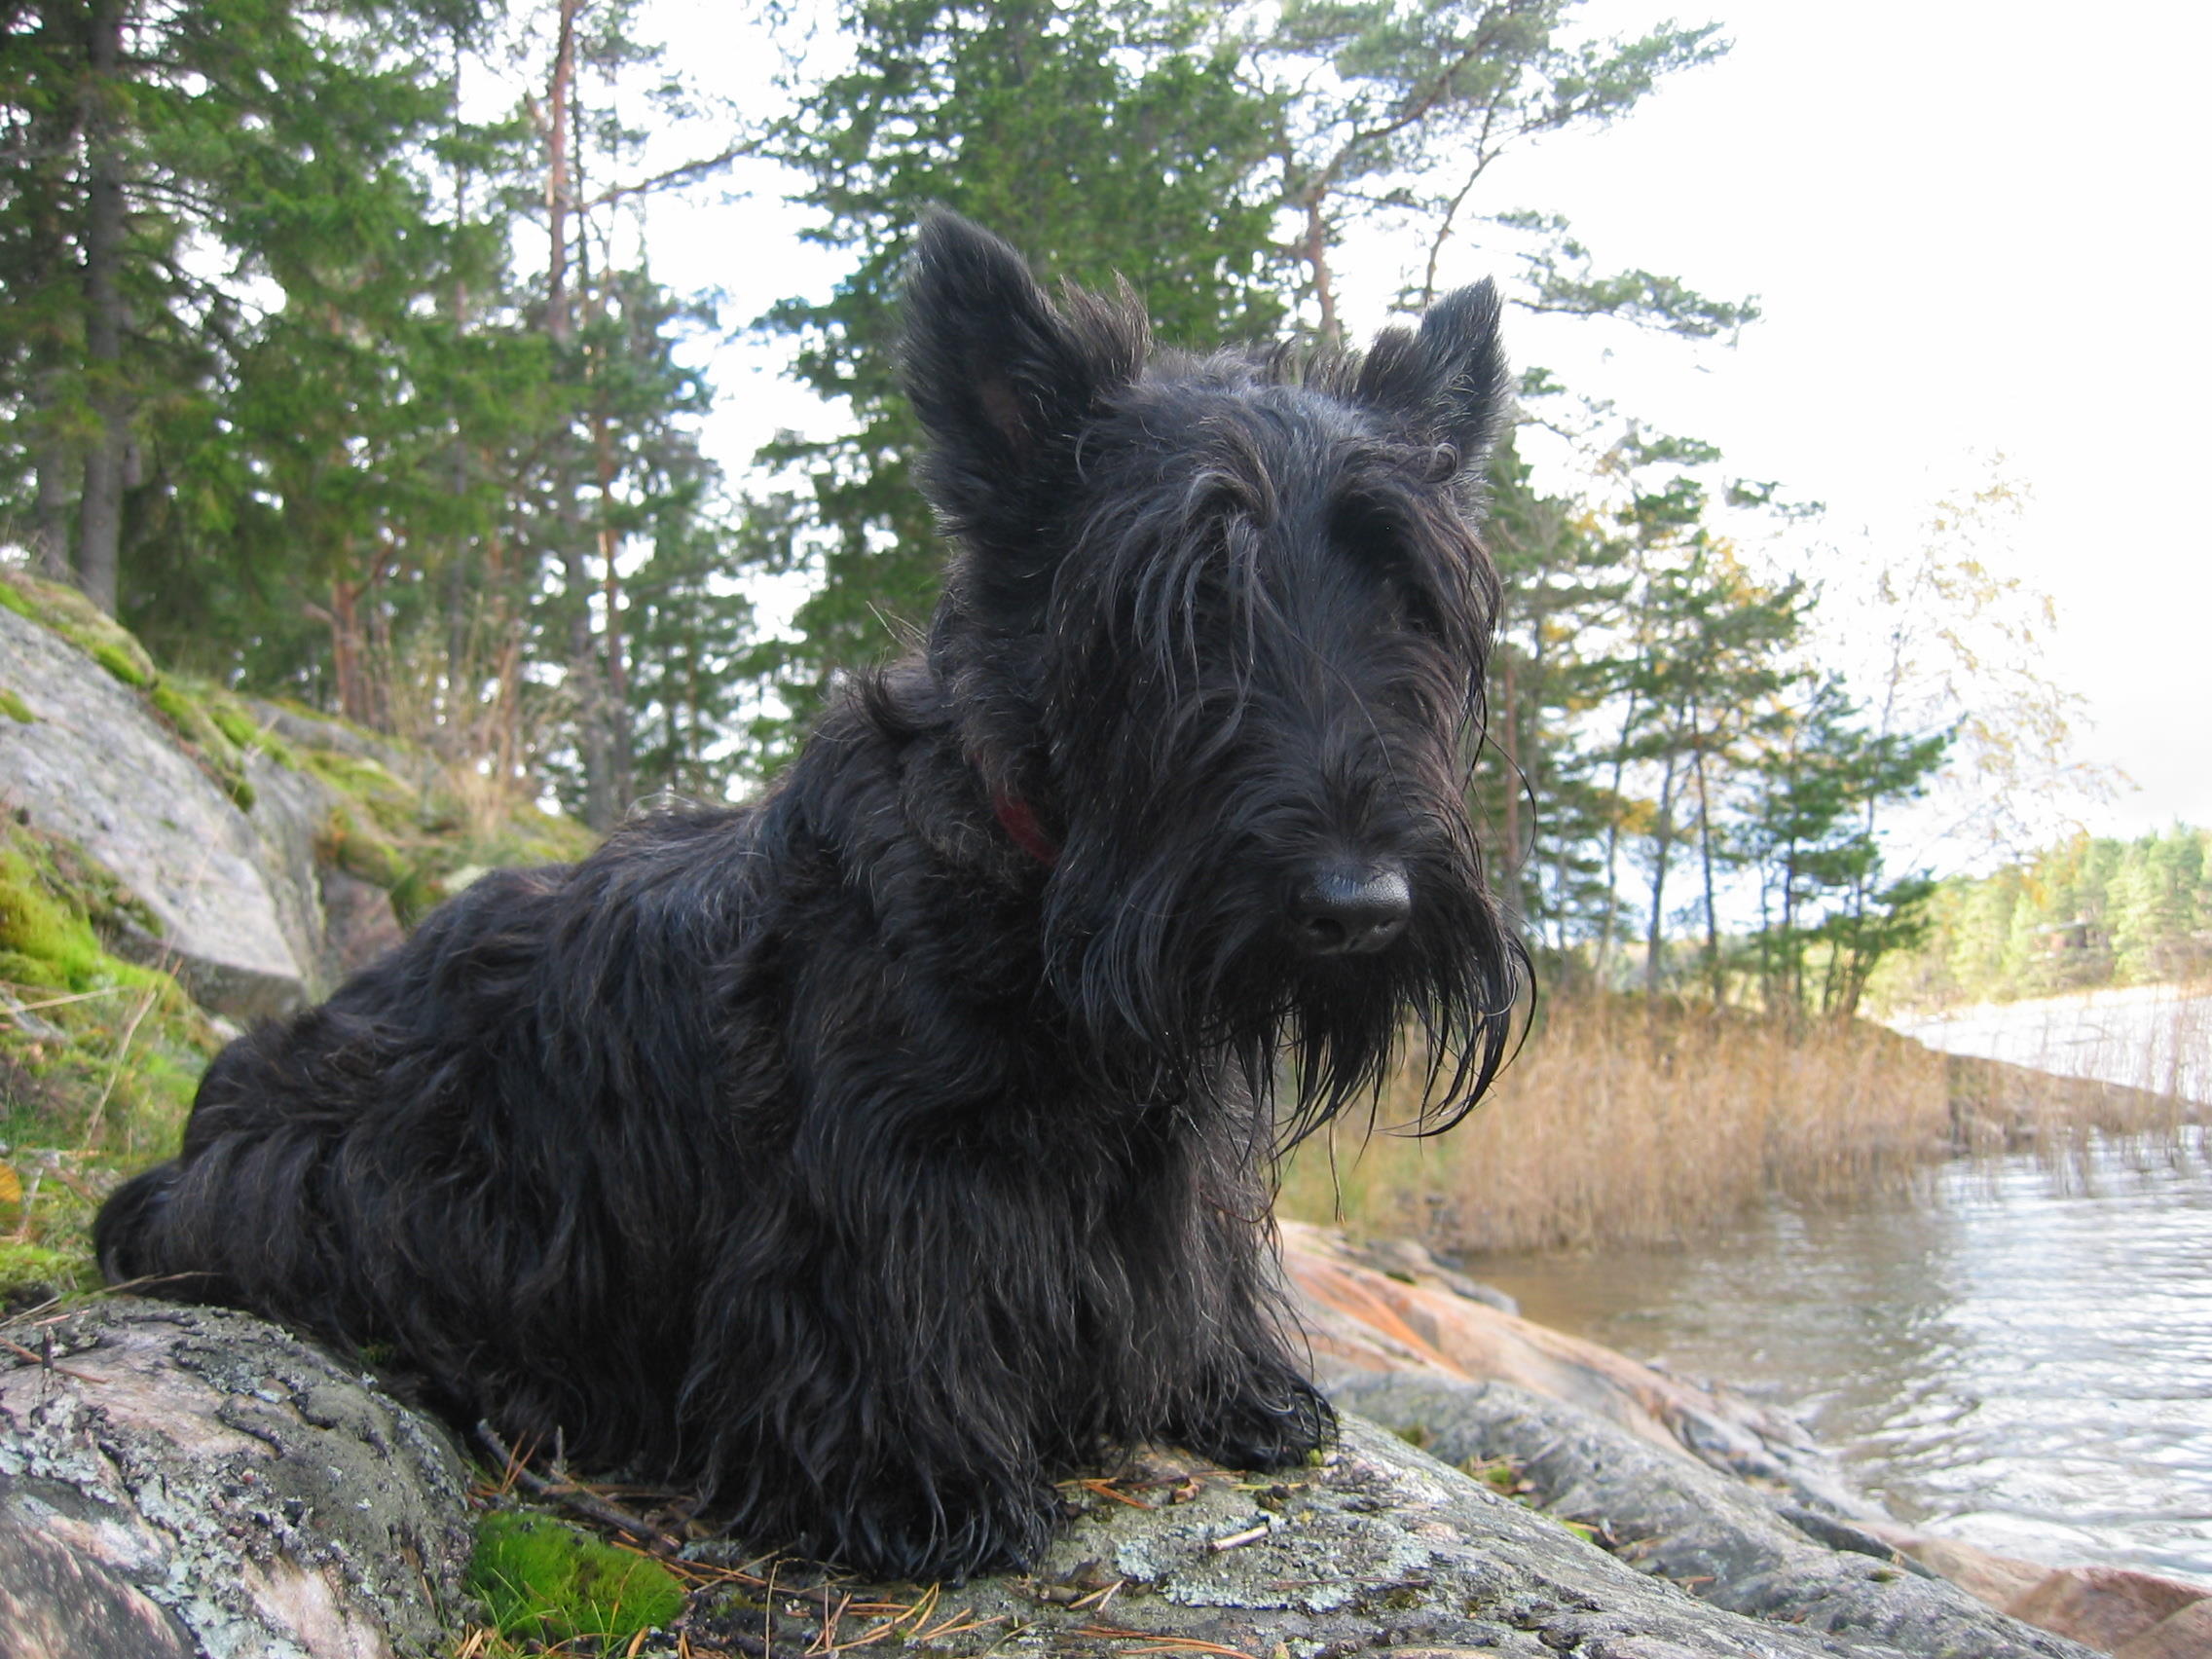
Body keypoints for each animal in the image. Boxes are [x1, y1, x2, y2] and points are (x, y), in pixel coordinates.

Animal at [99, 210, 1522, 1583]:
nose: (1362, 907)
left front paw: (1230, 1386)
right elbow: (887, 1320)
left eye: (1408, 597)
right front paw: (925, 1486)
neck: (1036, 888)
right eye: (1187, 598)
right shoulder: (872, 1191)